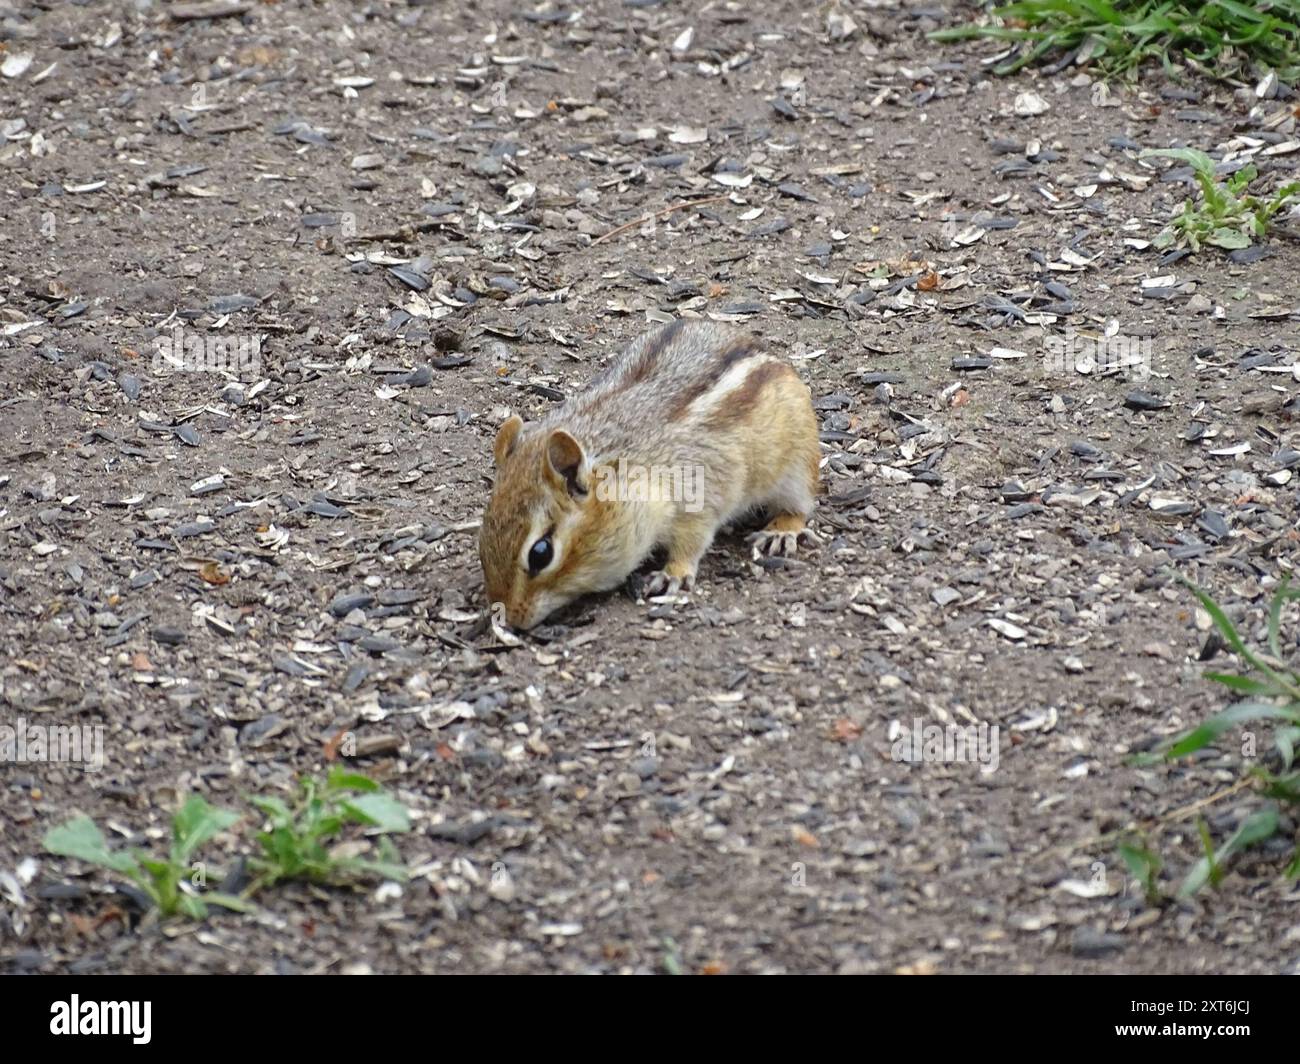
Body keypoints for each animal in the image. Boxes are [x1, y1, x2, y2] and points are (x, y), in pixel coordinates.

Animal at [479, 319, 821, 629]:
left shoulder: (698, 498)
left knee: (799, 506)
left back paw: (782, 531)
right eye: (482, 539)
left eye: (541, 553)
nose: (509, 619)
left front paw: (673, 574)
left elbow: (692, 542)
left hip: (797, 466)